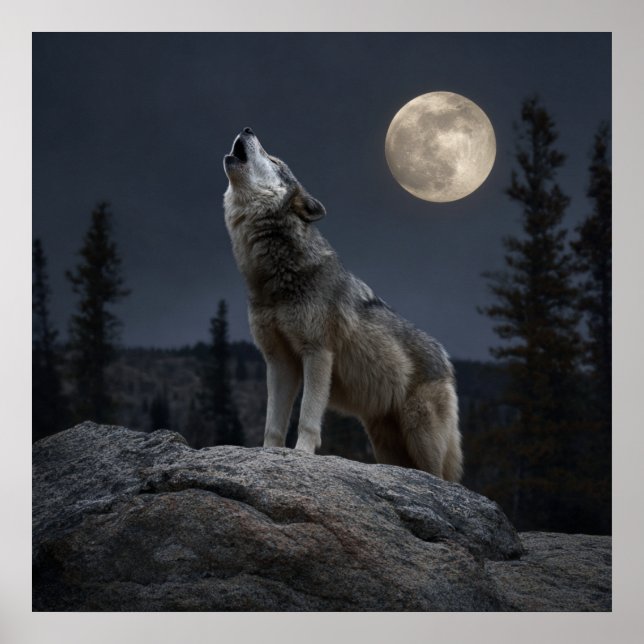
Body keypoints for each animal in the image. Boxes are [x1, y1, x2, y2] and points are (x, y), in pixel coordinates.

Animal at [223, 127, 463, 481]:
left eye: (274, 160)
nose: (248, 129)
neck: (274, 278)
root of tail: (446, 360)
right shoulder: (278, 361)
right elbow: (273, 425)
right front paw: (268, 456)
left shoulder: (317, 352)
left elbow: (308, 418)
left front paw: (301, 456)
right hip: (385, 443)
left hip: (420, 435)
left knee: (441, 478)